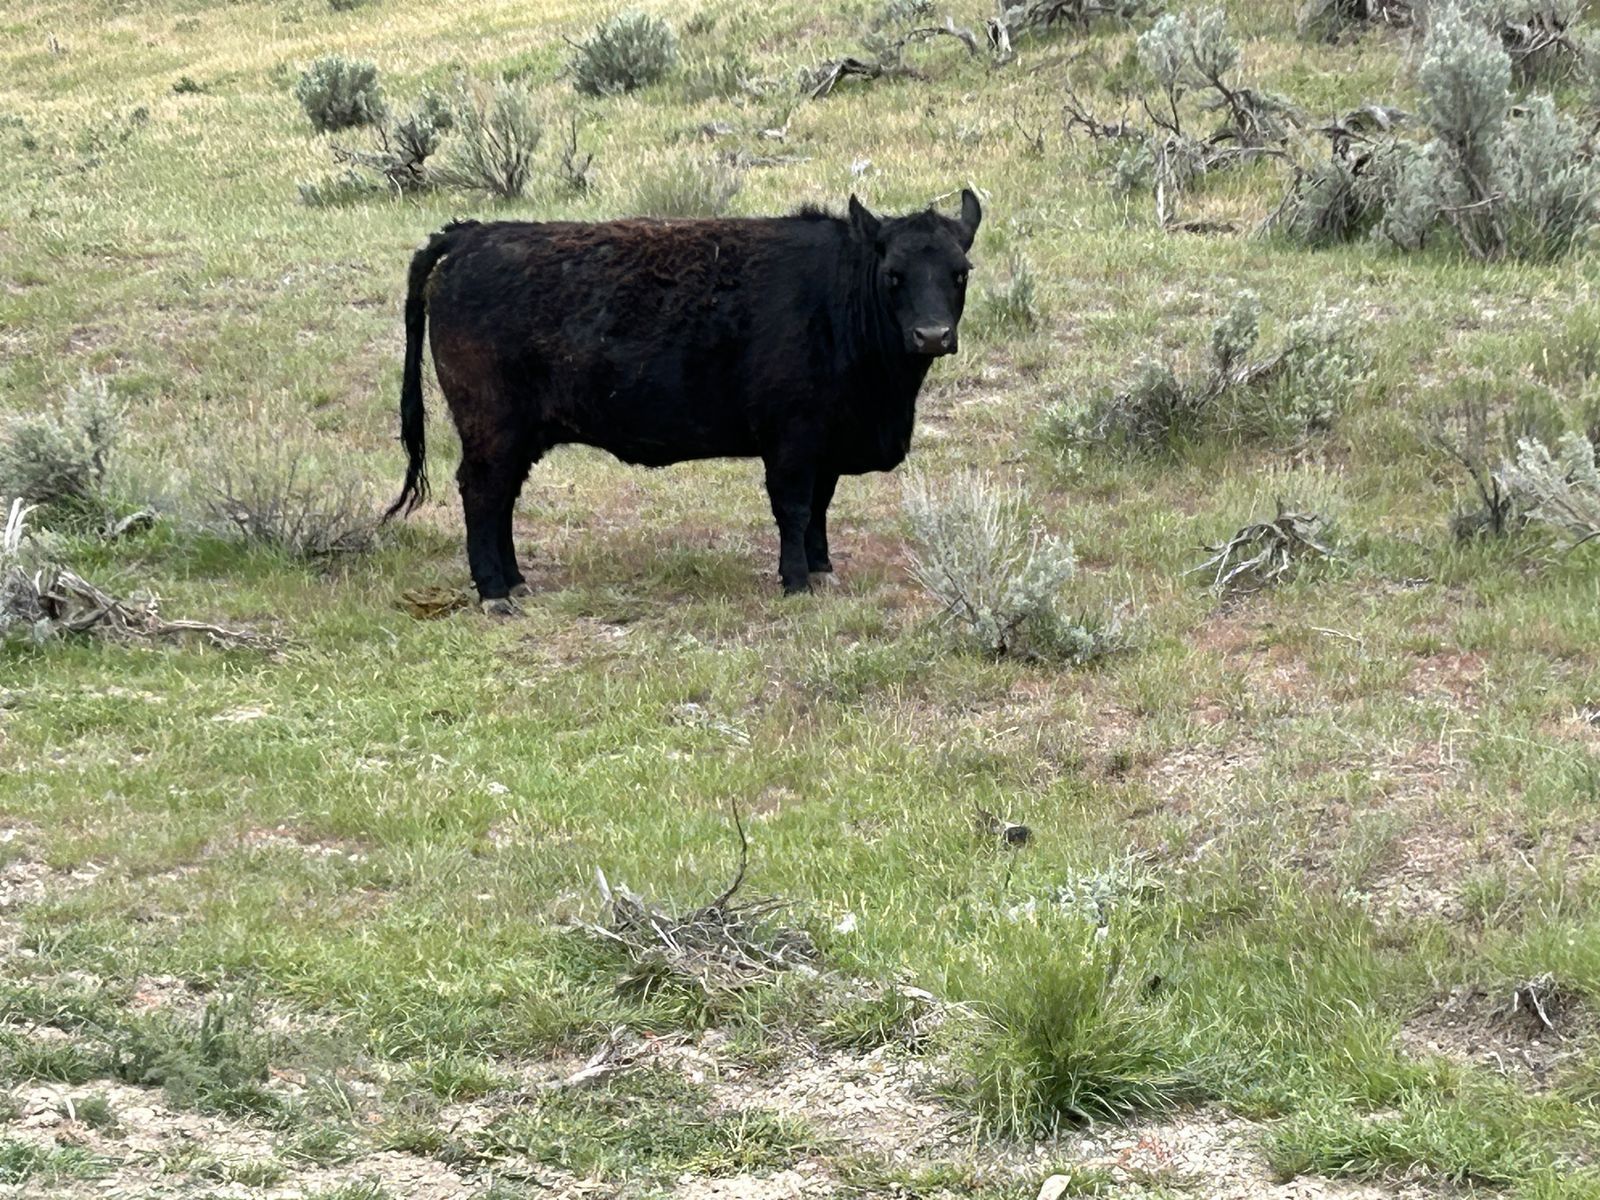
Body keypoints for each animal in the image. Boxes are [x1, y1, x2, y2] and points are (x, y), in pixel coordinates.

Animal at [384, 189, 982, 613]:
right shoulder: (791, 444)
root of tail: (470, 236)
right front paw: (795, 581)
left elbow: (819, 511)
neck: (837, 297)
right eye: (894, 275)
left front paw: (821, 570)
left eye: (960, 271)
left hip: (519, 436)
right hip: (492, 430)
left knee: (502, 499)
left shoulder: (825, 447)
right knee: (482, 494)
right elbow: (793, 509)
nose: (932, 335)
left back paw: (515, 581)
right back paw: (494, 593)